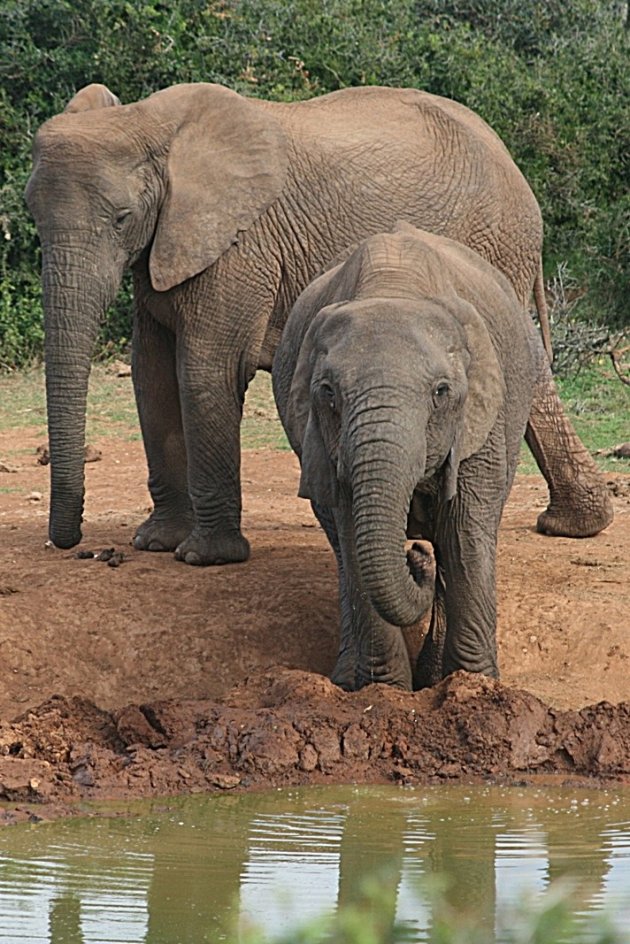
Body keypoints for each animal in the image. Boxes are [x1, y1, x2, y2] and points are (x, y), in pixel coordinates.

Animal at [27, 81, 616, 564]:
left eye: (122, 218)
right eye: (32, 216)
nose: (68, 542)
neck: (148, 122)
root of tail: (511, 163)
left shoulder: (241, 245)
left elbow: (207, 371)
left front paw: (205, 557)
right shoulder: (169, 243)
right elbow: (150, 375)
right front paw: (156, 543)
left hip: (495, 241)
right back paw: (575, 525)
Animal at [274, 225, 544, 688]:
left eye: (441, 392)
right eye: (328, 392)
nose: (415, 553)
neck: (393, 287)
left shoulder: (481, 421)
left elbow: (464, 530)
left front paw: (472, 684)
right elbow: (353, 531)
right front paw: (384, 690)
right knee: (342, 550)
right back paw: (349, 676)